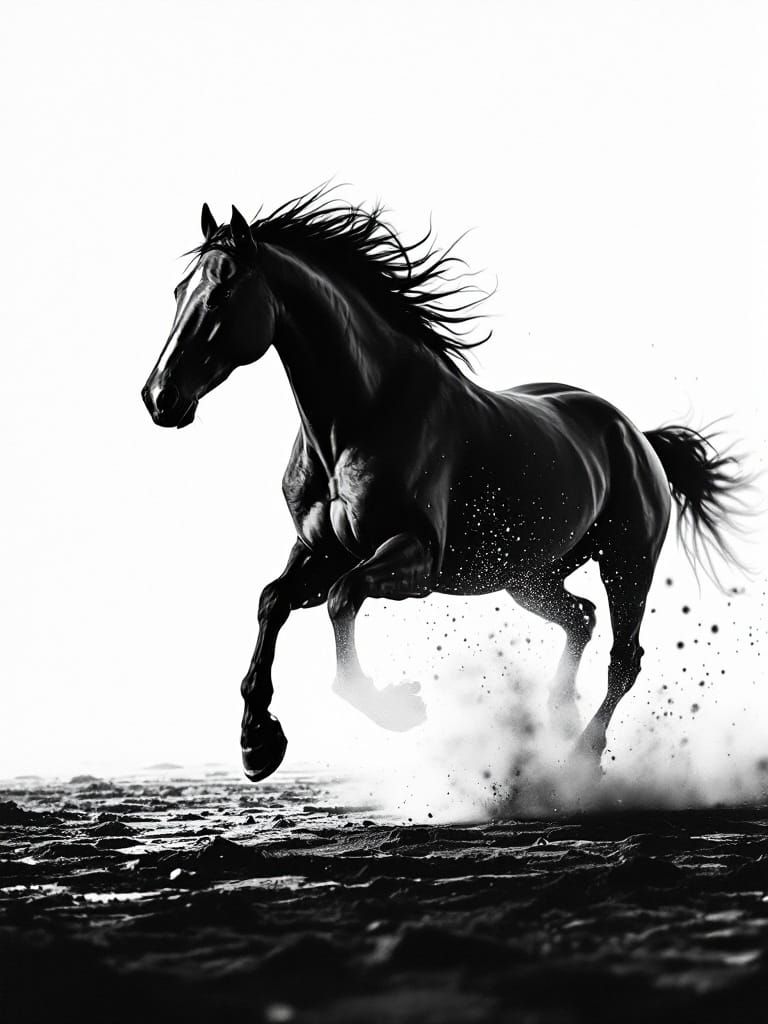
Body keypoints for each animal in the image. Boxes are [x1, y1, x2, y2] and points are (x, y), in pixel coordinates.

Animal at [141, 188, 748, 783]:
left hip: (627, 561)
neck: (360, 419)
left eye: (220, 293)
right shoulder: (320, 551)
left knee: (625, 658)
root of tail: (636, 436)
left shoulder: (414, 555)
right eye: (177, 290)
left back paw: (580, 754)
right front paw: (257, 743)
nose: (159, 397)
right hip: (527, 576)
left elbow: (342, 600)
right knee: (581, 618)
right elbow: (271, 601)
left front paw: (397, 707)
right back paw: (557, 716)